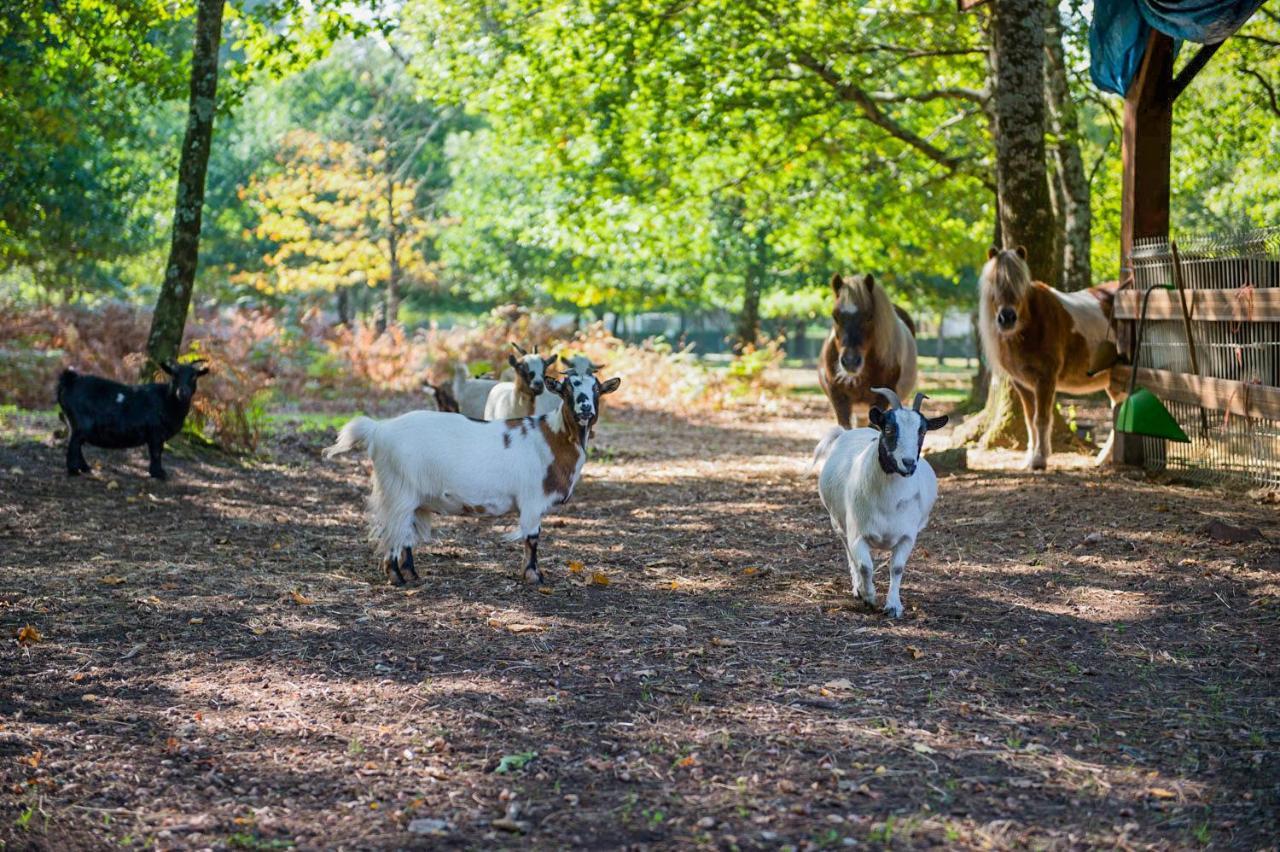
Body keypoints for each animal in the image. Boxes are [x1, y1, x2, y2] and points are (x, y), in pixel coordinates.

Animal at [56, 358, 208, 478]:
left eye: (194, 377)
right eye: (174, 375)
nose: (183, 392)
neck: (166, 400)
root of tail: (70, 380)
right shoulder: (155, 432)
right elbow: (156, 452)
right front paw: (158, 473)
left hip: (74, 422)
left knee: (76, 442)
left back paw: (84, 468)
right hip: (82, 423)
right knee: (74, 443)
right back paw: (73, 470)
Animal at [322, 368, 616, 580]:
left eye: (597, 389)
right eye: (567, 389)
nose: (585, 409)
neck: (554, 438)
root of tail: (378, 429)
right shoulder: (532, 499)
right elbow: (532, 537)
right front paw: (534, 576)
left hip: (409, 495)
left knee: (405, 532)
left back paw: (412, 574)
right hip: (398, 490)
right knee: (394, 530)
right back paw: (396, 577)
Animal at [814, 386, 947, 616]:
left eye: (922, 431)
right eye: (889, 429)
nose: (908, 463)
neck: (889, 502)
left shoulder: (907, 536)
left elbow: (897, 568)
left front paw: (893, 605)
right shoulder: (857, 533)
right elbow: (864, 566)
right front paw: (868, 597)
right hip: (838, 523)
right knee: (850, 555)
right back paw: (857, 588)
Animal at [977, 245, 1121, 470]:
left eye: (1020, 285)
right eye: (994, 283)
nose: (1007, 318)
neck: (1031, 325)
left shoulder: (1045, 379)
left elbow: (1041, 419)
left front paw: (1039, 459)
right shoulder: (1023, 384)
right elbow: (1029, 421)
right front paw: (1029, 459)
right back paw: (1103, 459)